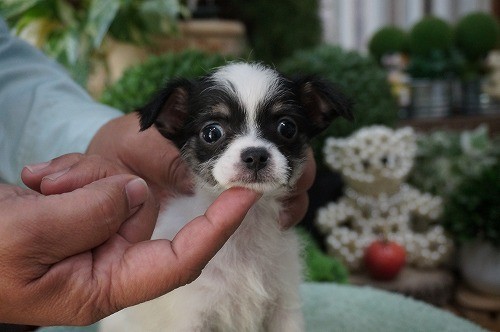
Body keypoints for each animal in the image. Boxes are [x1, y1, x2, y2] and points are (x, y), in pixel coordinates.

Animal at [100, 63, 352, 332]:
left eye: (287, 128)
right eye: (212, 133)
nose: (255, 155)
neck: (246, 230)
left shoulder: (284, 307)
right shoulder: (192, 317)